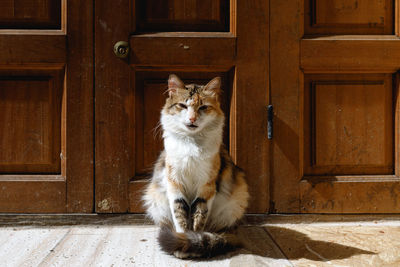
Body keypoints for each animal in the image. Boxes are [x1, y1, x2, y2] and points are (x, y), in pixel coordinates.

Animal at [144, 74, 248, 258]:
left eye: (203, 107)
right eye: (183, 105)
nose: (192, 119)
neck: (191, 144)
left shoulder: (206, 186)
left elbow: (199, 216)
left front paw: (192, 240)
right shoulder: (175, 183)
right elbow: (180, 214)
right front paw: (182, 242)